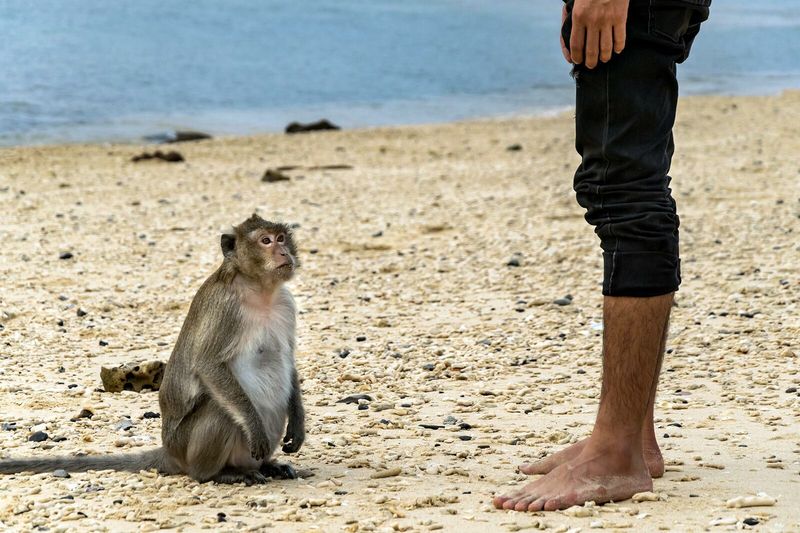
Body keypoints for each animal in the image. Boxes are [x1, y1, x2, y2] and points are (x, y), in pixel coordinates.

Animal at [0, 214, 306, 484]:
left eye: (281, 238)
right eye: (265, 241)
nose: (283, 253)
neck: (259, 289)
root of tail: (170, 452)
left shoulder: (285, 304)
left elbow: (288, 360)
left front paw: (298, 424)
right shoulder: (226, 309)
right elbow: (208, 365)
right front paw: (254, 429)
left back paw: (267, 465)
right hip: (186, 445)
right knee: (218, 408)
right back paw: (219, 473)